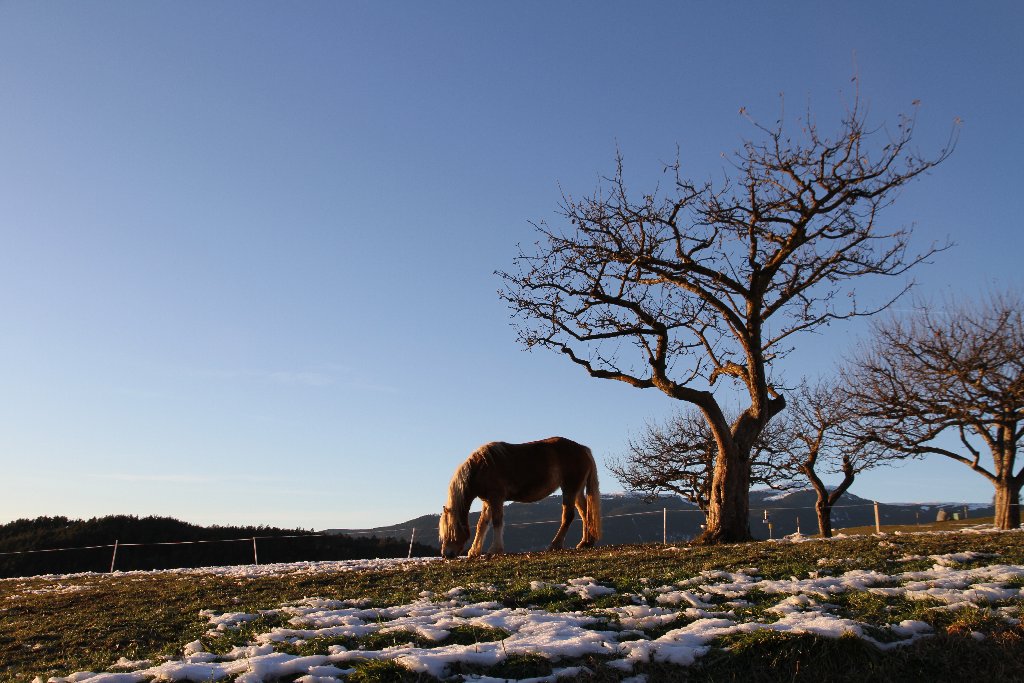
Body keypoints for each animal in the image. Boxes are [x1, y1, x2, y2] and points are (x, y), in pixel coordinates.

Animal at [438, 436, 598, 557]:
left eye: (450, 531)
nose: (446, 554)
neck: (480, 468)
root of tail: (583, 449)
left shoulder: (496, 498)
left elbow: (497, 521)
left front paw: (495, 549)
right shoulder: (487, 502)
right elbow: (481, 524)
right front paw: (474, 551)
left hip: (569, 489)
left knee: (568, 516)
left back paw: (555, 545)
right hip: (577, 491)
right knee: (585, 513)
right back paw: (586, 542)